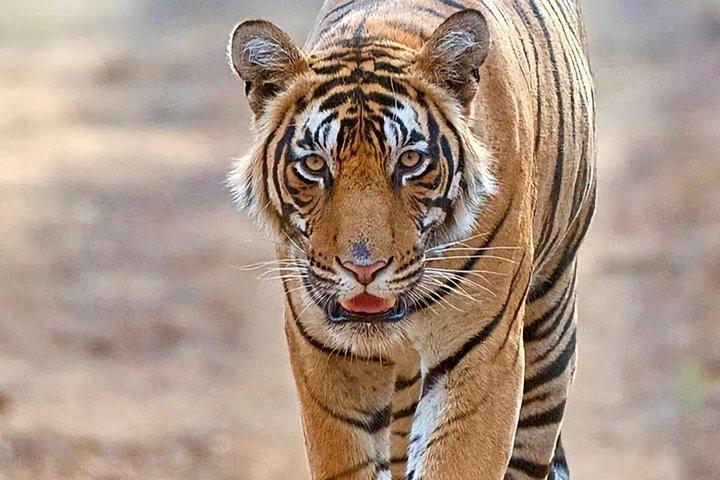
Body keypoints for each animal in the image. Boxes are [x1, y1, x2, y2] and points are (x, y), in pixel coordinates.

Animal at [227, 0, 595, 478]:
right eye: (314, 164)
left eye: (410, 161)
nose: (363, 268)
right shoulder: (327, 358)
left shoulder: (481, 352)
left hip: (550, 328)